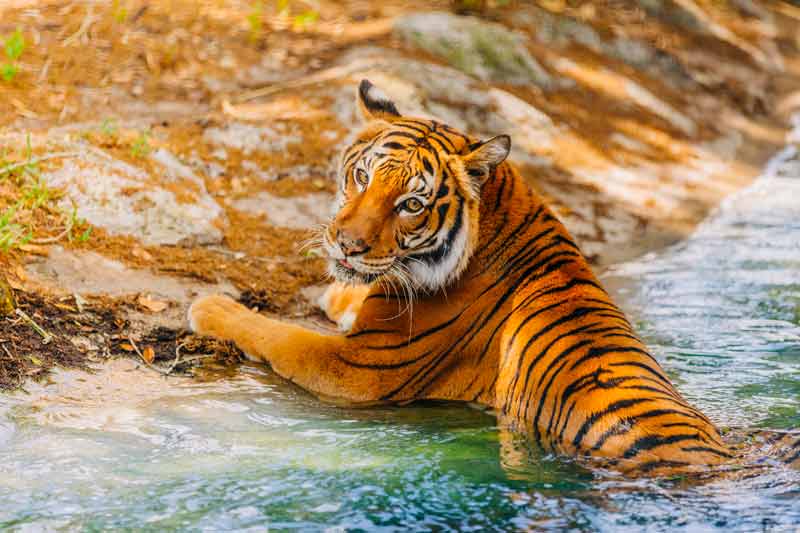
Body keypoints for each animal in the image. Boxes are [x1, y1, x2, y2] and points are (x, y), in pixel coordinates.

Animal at [189, 79, 800, 475]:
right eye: (361, 177)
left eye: (411, 205)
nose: (346, 243)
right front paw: (337, 289)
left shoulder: (358, 368)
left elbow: (273, 332)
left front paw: (209, 306)